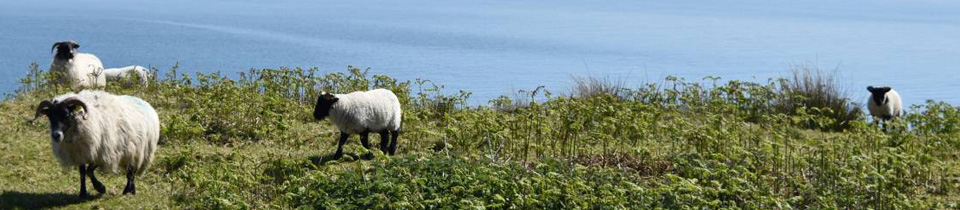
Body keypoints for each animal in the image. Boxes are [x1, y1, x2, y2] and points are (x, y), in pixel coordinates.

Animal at [32, 90, 161, 197]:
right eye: (50, 116)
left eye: (66, 115)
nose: (56, 135)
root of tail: (146, 103)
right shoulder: (81, 154)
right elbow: (83, 173)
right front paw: (83, 193)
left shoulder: (102, 153)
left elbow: (89, 171)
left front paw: (100, 188)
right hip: (131, 152)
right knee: (131, 171)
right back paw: (131, 190)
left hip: (139, 151)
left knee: (131, 173)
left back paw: (127, 191)